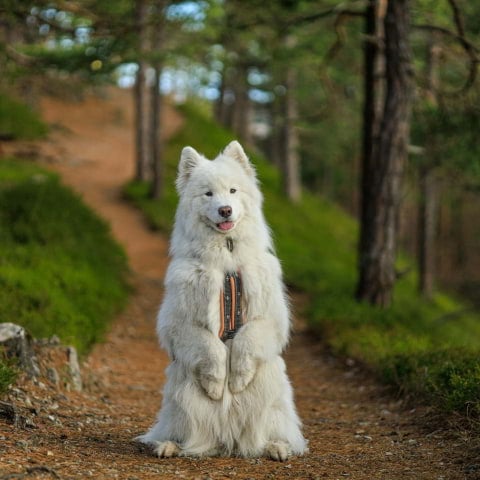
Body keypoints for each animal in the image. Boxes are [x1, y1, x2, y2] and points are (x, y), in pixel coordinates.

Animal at [136, 142, 308, 462]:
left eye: (232, 191)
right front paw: (217, 386)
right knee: (182, 431)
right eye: (208, 194)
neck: (226, 258)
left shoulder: (269, 318)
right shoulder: (180, 322)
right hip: (182, 394)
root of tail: (227, 442)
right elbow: (211, 348)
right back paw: (169, 445)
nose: (224, 209)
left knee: (271, 433)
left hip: (270, 393)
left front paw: (236, 380)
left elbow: (246, 340)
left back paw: (276, 447)